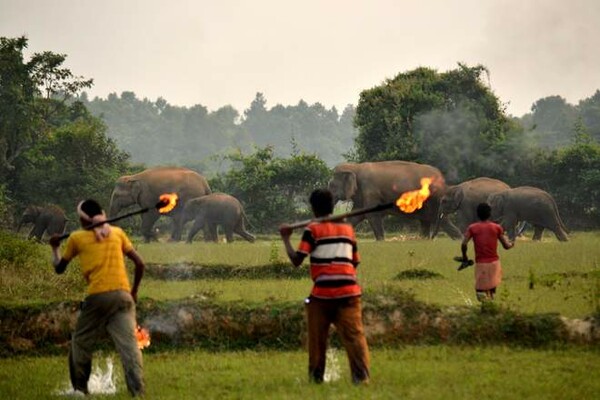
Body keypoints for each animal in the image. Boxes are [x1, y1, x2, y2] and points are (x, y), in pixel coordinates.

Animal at [328, 160, 464, 241]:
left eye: (331, 186)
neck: (355, 166)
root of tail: (442, 179)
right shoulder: (362, 196)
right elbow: (355, 216)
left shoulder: (370, 192)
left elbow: (372, 216)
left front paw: (381, 241)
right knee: (427, 222)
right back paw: (424, 240)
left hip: (435, 201)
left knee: (442, 221)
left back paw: (459, 240)